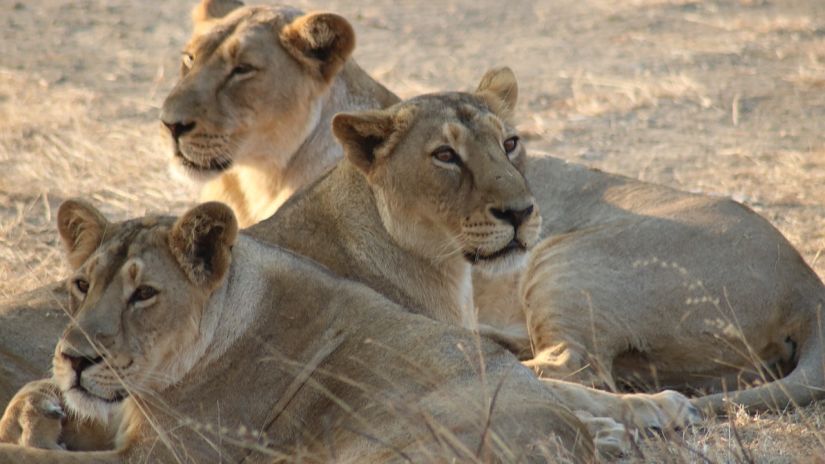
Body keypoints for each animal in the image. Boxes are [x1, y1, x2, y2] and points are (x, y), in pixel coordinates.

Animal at [0, 200, 596, 464]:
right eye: (81, 284)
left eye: (144, 293)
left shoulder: (168, 458)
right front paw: (36, 413)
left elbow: (36, 461)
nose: (74, 358)